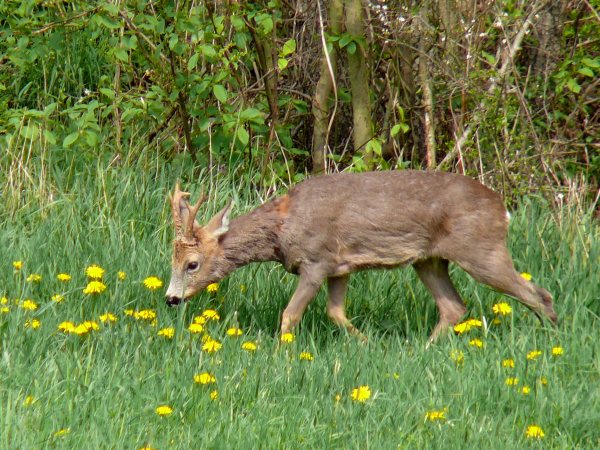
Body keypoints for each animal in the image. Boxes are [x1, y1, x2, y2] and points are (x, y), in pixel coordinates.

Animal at [165, 169, 556, 342]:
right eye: (173, 261)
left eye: (192, 264)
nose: (170, 298)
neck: (282, 228)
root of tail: (502, 208)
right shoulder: (341, 267)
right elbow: (336, 312)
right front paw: (366, 343)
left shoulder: (317, 261)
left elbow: (290, 315)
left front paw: (282, 354)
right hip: (429, 260)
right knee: (454, 307)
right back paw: (422, 350)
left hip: (480, 249)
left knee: (538, 293)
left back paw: (553, 339)